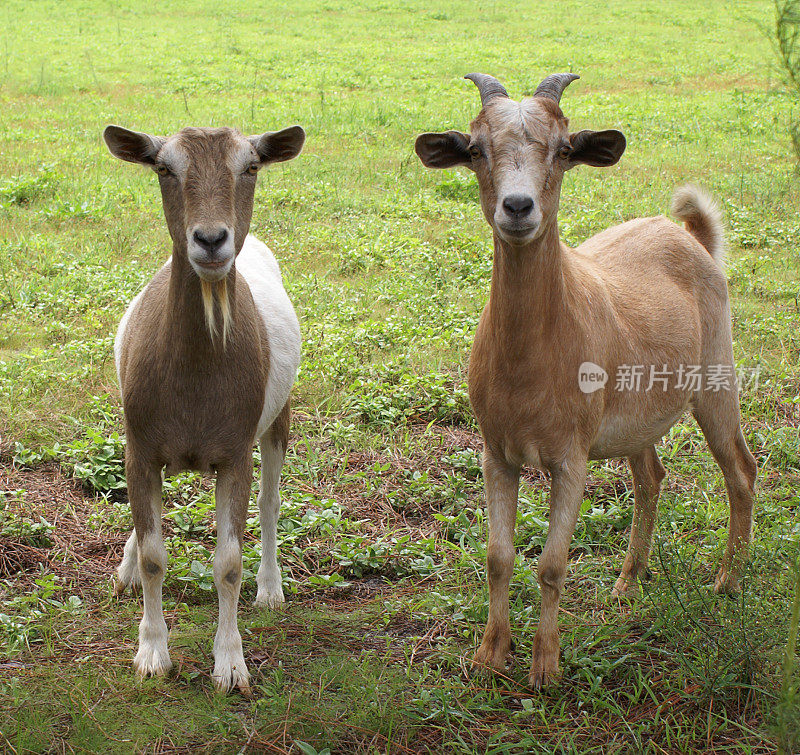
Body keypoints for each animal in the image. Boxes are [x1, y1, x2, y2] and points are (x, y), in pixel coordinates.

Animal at [104, 124, 304, 696]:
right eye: (163, 168)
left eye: (251, 167)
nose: (212, 240)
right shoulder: (140, 448)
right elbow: (155, 555)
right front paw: (152, 652)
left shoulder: (233, 454)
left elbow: (228, 563)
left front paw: (231, 665)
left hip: (278, 417)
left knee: (270, 503)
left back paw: (271, 589)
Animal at [416, 74, 760, 688]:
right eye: (475, 149)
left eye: (563, 149)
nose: (518, 207)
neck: (533, 367)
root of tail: (691, 235)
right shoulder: (496, 450)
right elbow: (498, 557)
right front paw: (488, 657)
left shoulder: (570, 454)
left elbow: (552, 565)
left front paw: (545, 667)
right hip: (635, 415)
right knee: (651, 476)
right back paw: (628, 582)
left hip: (716, 376)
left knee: (740, 471)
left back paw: (727, 582)